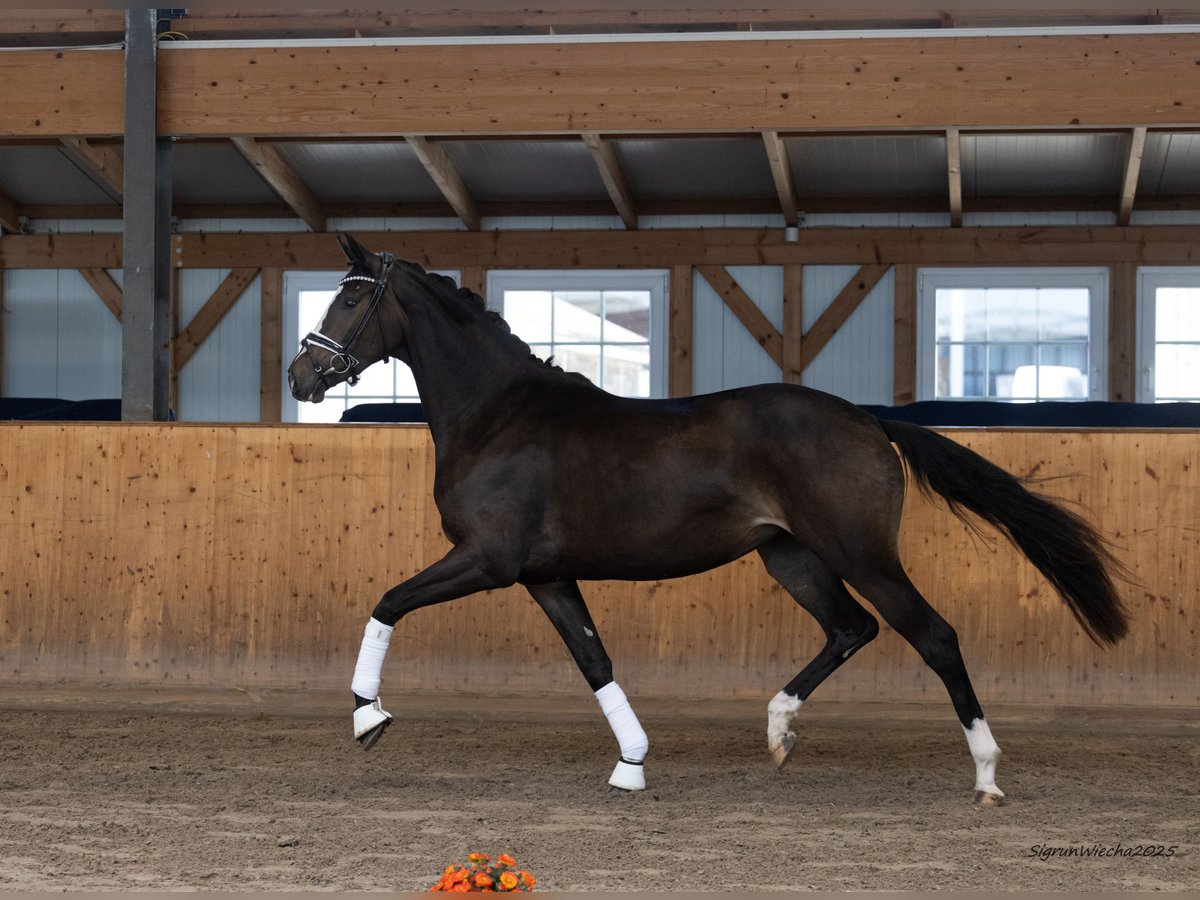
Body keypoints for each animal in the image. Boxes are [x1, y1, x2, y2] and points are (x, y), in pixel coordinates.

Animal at [287, 234, 1129, 804]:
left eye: (352, 297)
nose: (301, 375)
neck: (500, 414)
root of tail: (868, 419)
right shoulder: (546, 576)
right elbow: (595, 661)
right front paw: (631, 764)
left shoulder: (488, 560)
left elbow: (387, 601)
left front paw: (368, 717)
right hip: (792, 557)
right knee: (851, 629)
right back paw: (779, 732)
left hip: (860, 553)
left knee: (935, 636)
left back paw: (986, 775)